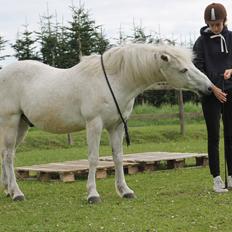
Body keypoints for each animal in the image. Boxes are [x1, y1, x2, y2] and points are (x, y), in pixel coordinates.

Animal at [0, 43, 212, 203]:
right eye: (183, 69)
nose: (209, 88)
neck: (114, 79)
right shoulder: (94, 124)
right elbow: (93, 158)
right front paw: (93, 194)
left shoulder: (116, 126)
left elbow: (118, 157)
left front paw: (125, 191)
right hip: (10, 122)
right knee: (9, 157)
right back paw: (17, 193)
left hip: (22, 126)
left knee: (5, 155)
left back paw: (8, 190)